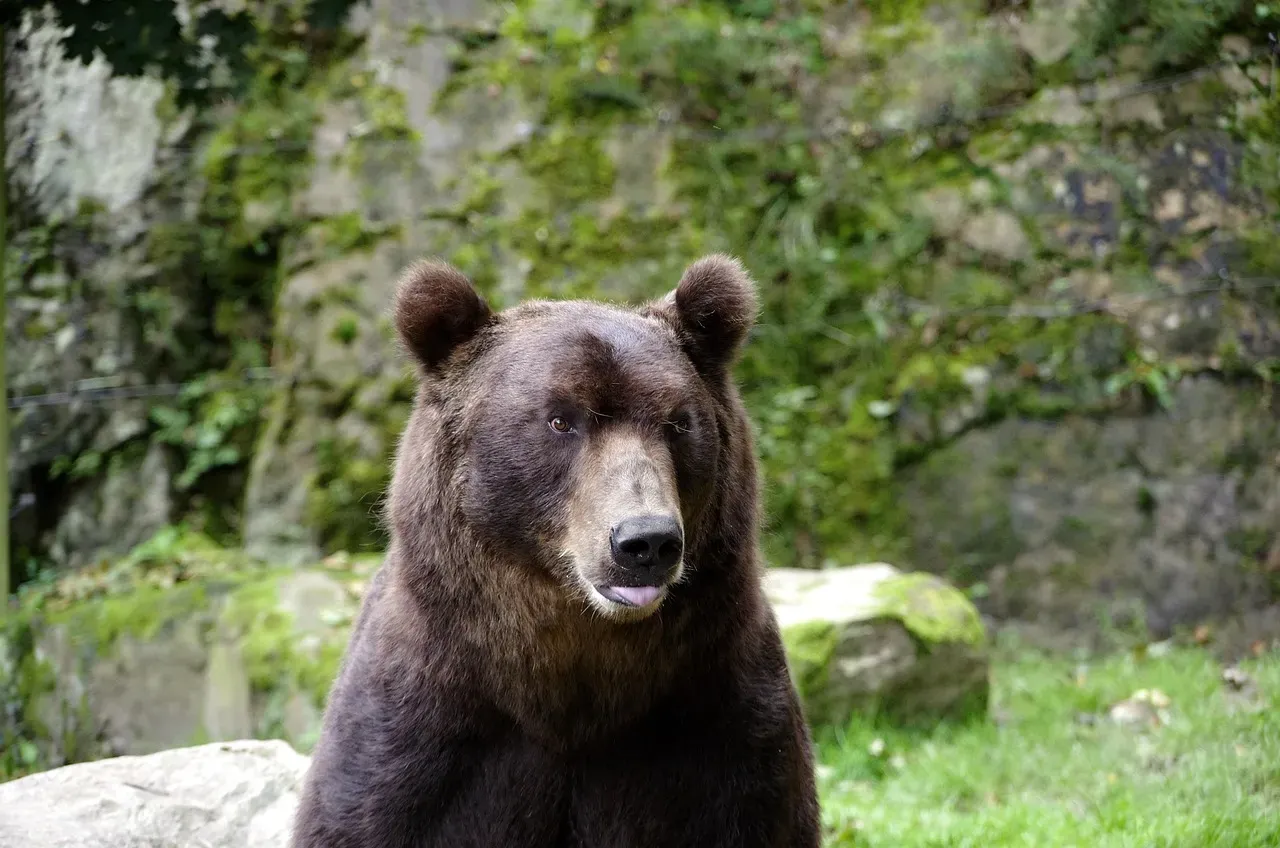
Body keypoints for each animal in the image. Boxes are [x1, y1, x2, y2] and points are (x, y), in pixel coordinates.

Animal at [290, 254, 821, 848]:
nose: (646, 541)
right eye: (561, 419)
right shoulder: (425, 728)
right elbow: (366, 807)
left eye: (679, 422)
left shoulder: (718, 720)